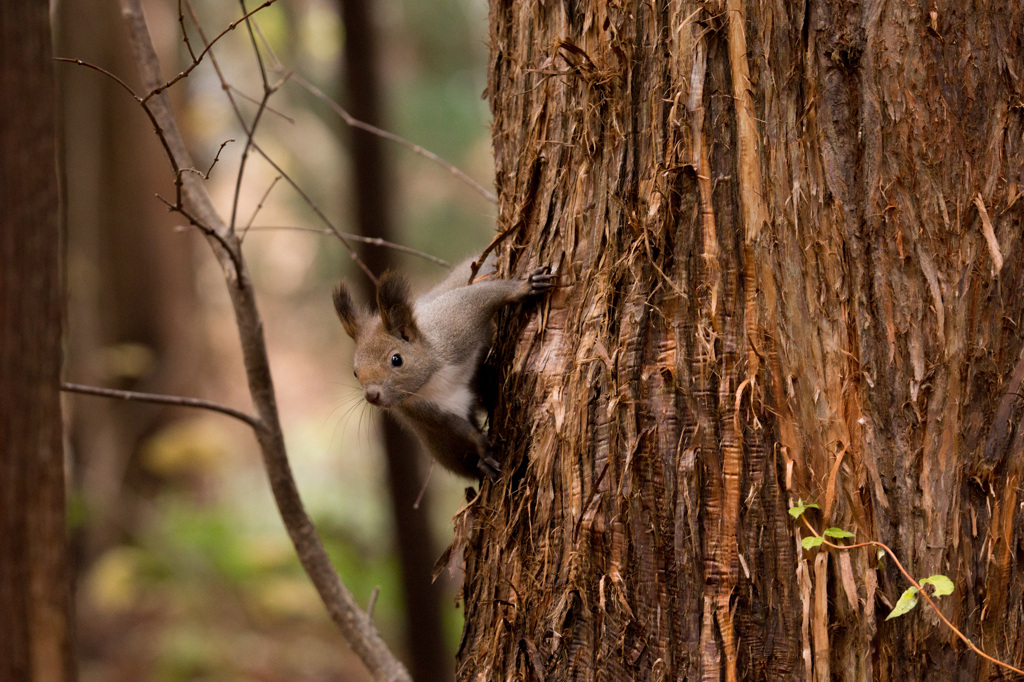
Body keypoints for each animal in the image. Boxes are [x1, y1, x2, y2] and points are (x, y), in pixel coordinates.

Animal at [331, 258, 557, 481]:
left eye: (396, 359)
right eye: (355, 372)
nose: (371, 395)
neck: (432, 378)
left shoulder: (454, 326)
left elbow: (482, 296)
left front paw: (526, 286)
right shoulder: (428, 411)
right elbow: (459, 429)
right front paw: (484, 451)